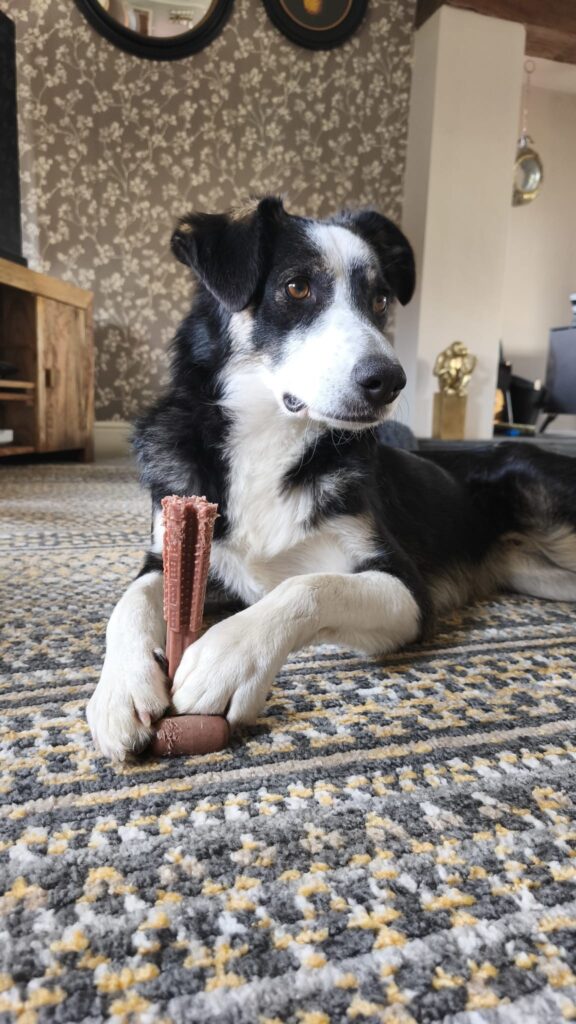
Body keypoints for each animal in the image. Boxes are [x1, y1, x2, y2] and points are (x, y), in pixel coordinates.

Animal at [87, 196, 576, 760]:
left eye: (380, 299)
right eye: (297, 287)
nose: (389, 381)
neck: (269, 435)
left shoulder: (407, 590)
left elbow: (309, 586)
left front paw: (226, 657)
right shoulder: (172, 547)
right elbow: (129, 603)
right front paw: (121, 688)